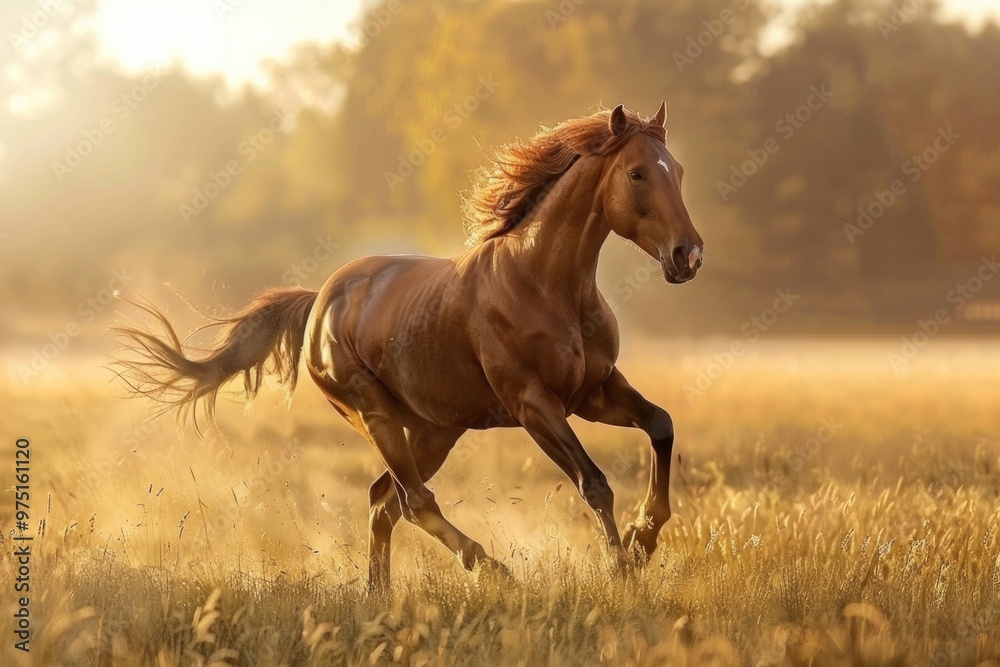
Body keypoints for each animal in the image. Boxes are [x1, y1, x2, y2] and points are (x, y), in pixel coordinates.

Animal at [112, 102, 704, 591]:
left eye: (678, 170)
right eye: (636, 172)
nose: (689, 255)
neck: (544, 284)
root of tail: (320, 300)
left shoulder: (595, 391)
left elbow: (661, 424)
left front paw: (644, 541)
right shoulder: (535, 405)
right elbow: (594, 482)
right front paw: (623, 569)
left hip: (433, 429)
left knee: (384, 502)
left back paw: (380, 597)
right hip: (377, 417)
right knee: (413, 501)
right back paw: (496, 572)